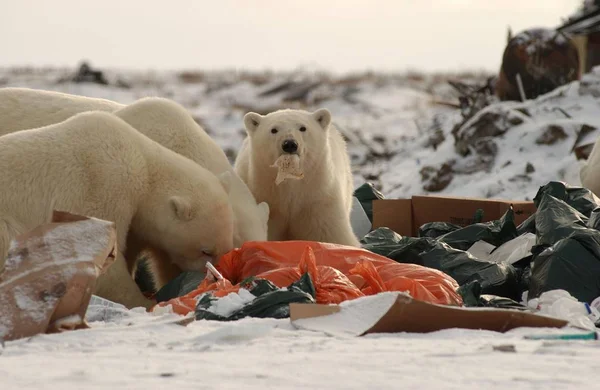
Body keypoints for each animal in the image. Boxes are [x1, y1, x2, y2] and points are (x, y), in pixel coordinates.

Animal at [0, 111, 237, 310]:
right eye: (205, 251)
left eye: (229, 245)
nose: (221, 278)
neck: (144, 166)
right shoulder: (105, 186)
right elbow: (103, 261)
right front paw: (146, 302)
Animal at [234, 106, 358, 247]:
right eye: (273, 129)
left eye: (303, 128)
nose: (289, 144)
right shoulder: (266, 199)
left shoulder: (318, 200)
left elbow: (332, 235)